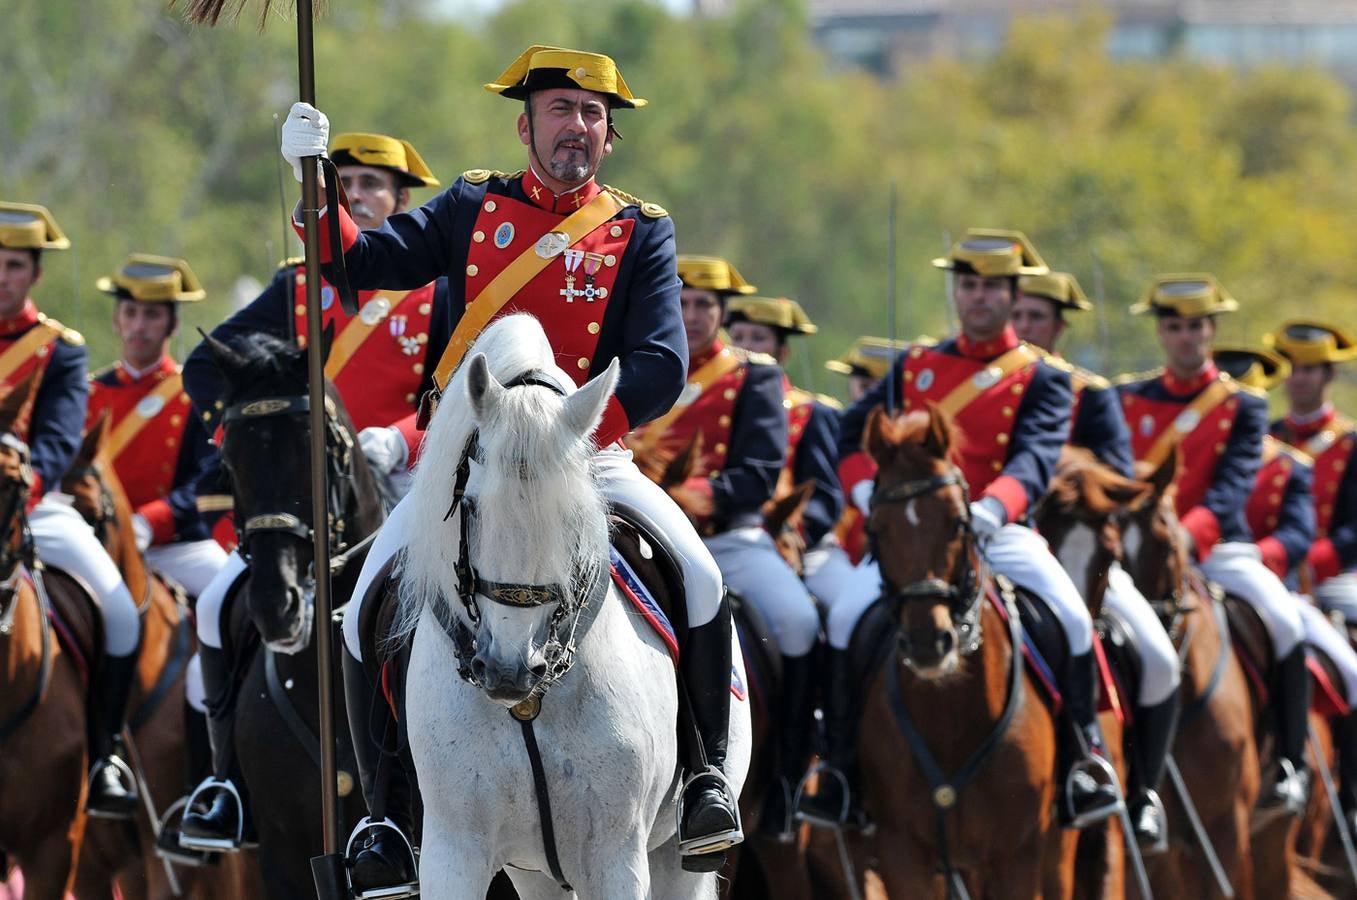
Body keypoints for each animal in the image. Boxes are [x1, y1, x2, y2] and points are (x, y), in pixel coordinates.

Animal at [393, 313, 754, 895]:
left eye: (574, 517)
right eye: (470, 505)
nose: (509, 669)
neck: (531, 705)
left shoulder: (616, 858)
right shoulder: (453, 853)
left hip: (671, 860)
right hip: (535, 872)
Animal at [814, 409, 1058, 900]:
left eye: (959, 522)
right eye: (876, 528)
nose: (929, 642)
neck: (952, 716)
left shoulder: (1017, 858)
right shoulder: (902, 854)